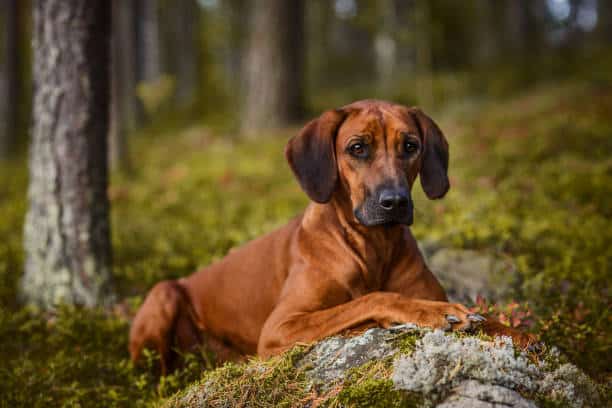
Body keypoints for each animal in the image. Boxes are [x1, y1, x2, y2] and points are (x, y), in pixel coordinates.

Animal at [130, 99, 536, 372]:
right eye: (357, 148)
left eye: (411, 146)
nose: (395, 202)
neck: (372, 247)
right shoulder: (280, 327)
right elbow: (371, 298)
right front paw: (424, 312)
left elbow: (495, 323)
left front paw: (525, 337)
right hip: (164, 294)